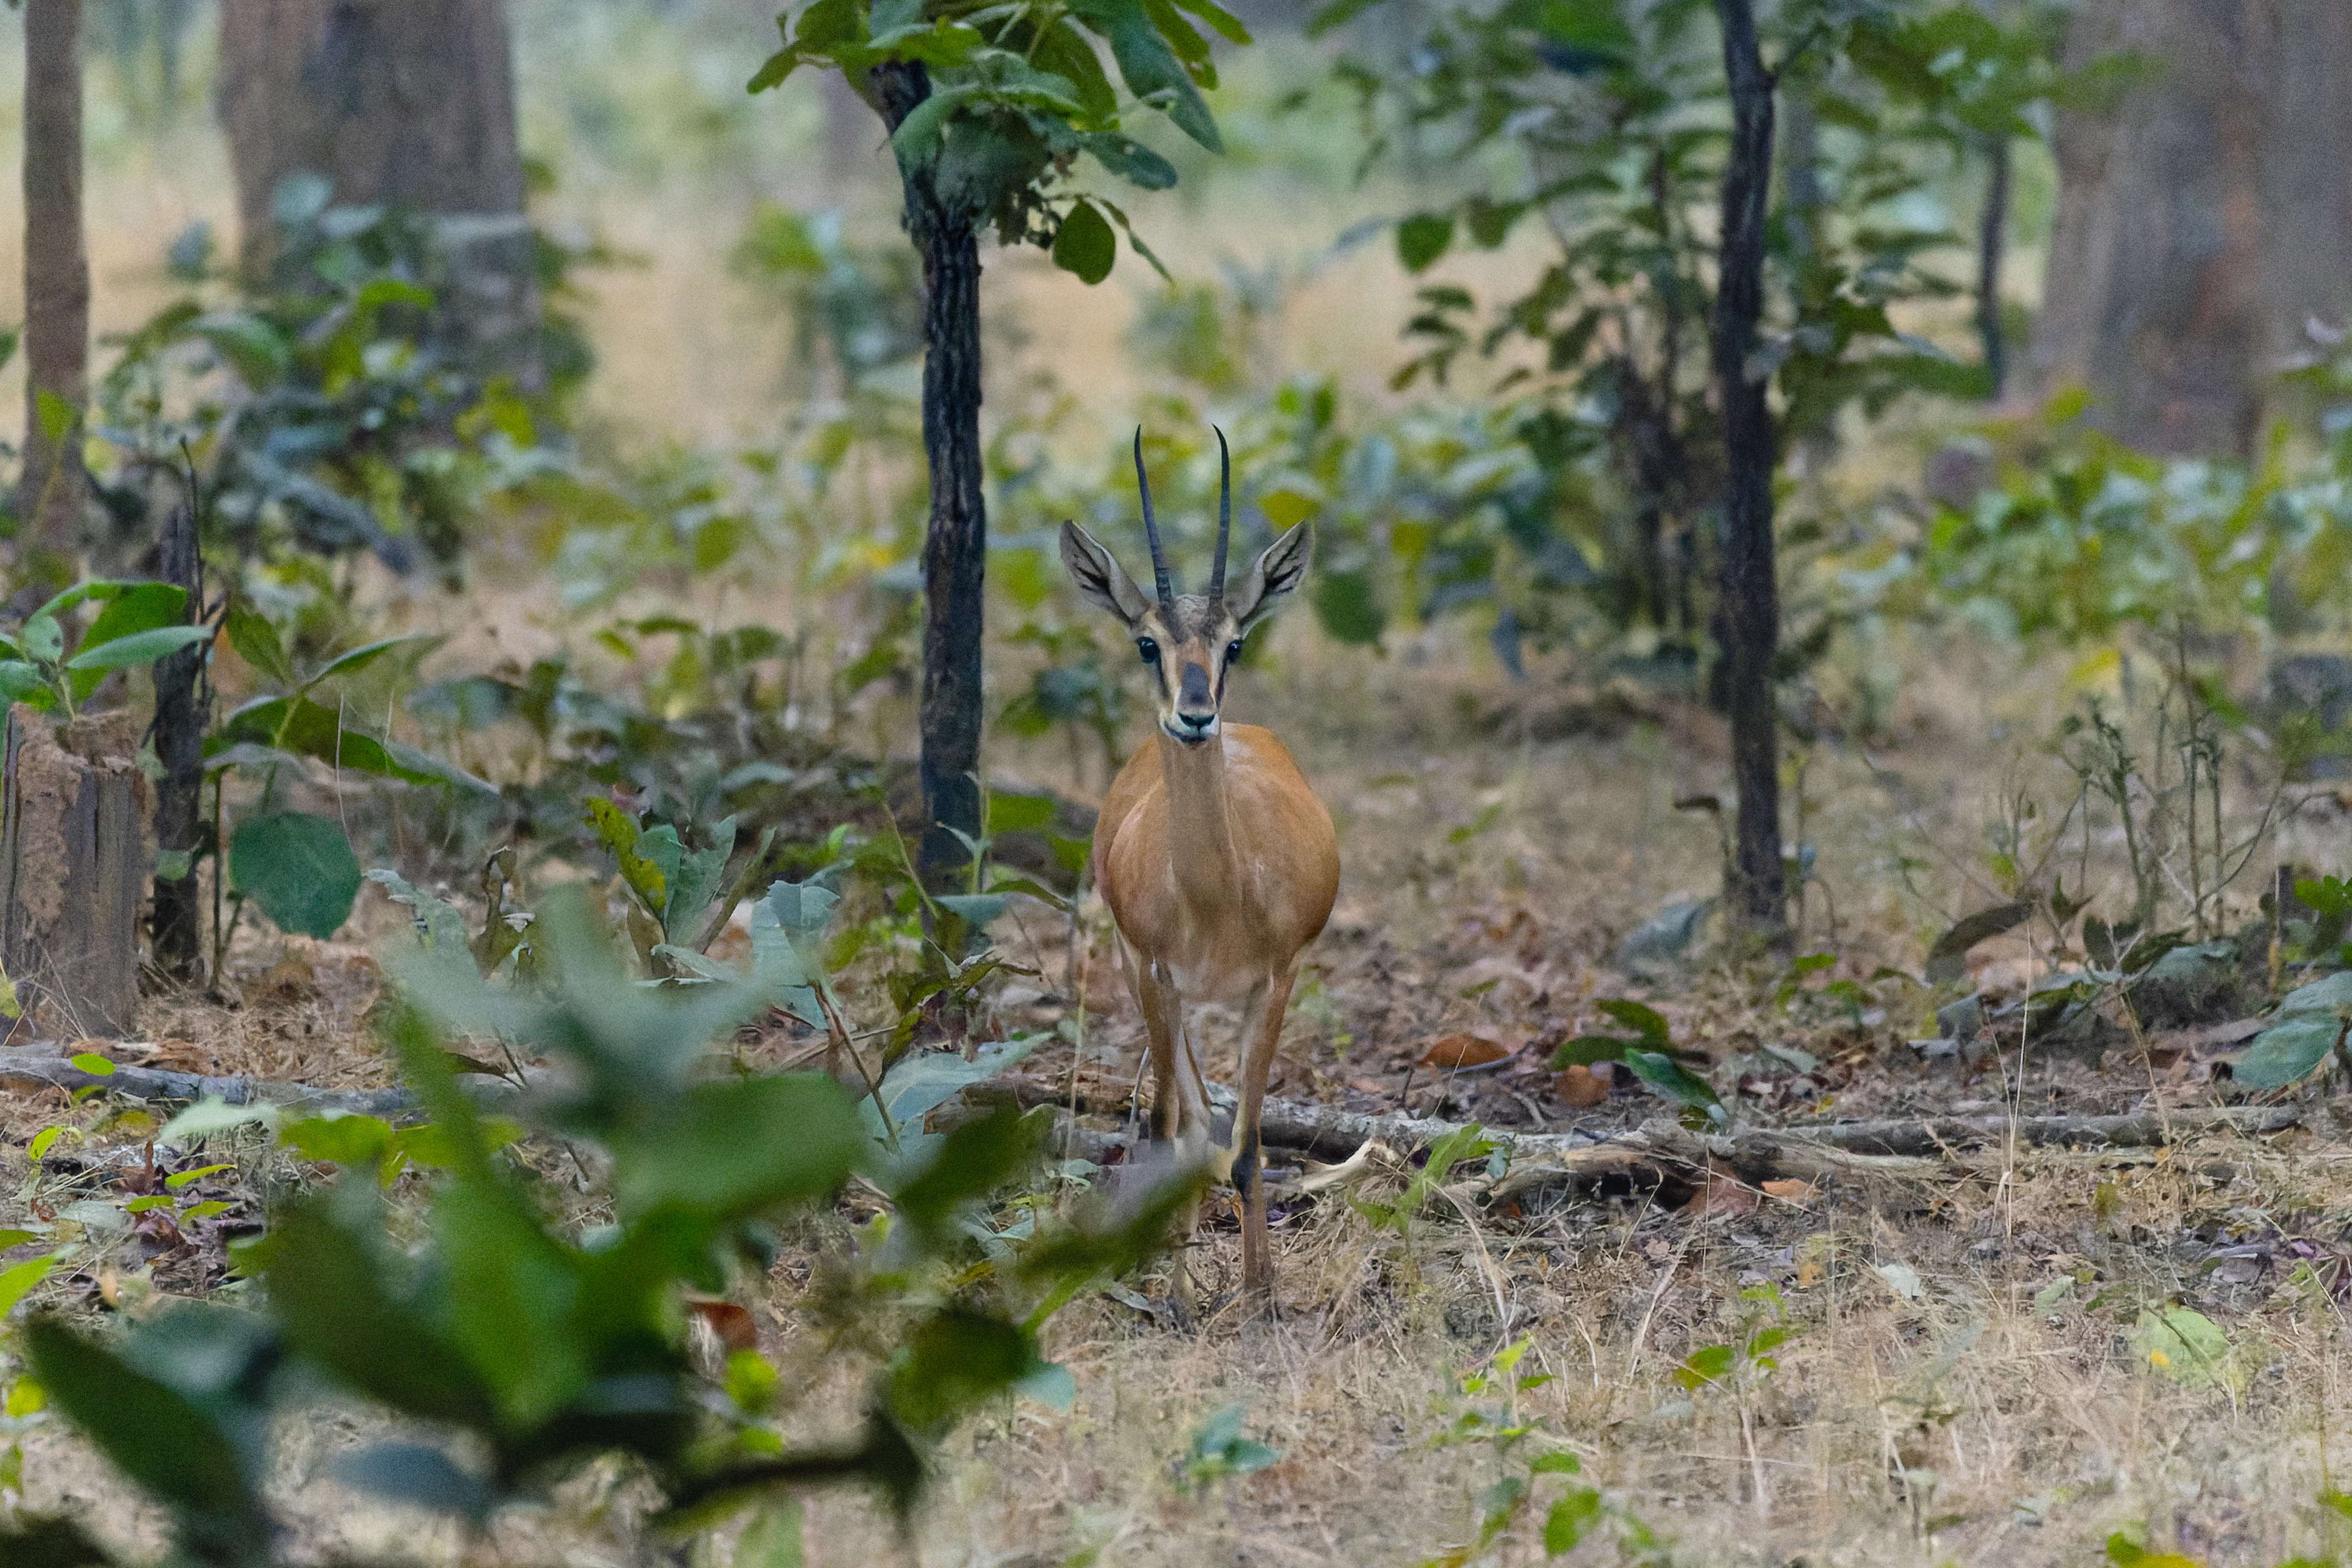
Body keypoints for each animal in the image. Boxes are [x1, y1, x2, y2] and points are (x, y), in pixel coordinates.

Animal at [1060, 429, 1340, 1310]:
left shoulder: (1274, 982)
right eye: (1146, 641)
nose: (1194, 715)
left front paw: (1258, 1297)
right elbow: (1173, 1135)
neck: (1218, 897)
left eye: (1234, 643)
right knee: (1183, 1126)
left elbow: (1247, 1148)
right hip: (1147, 982)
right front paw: (1179, 1294)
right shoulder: (1155, 974)